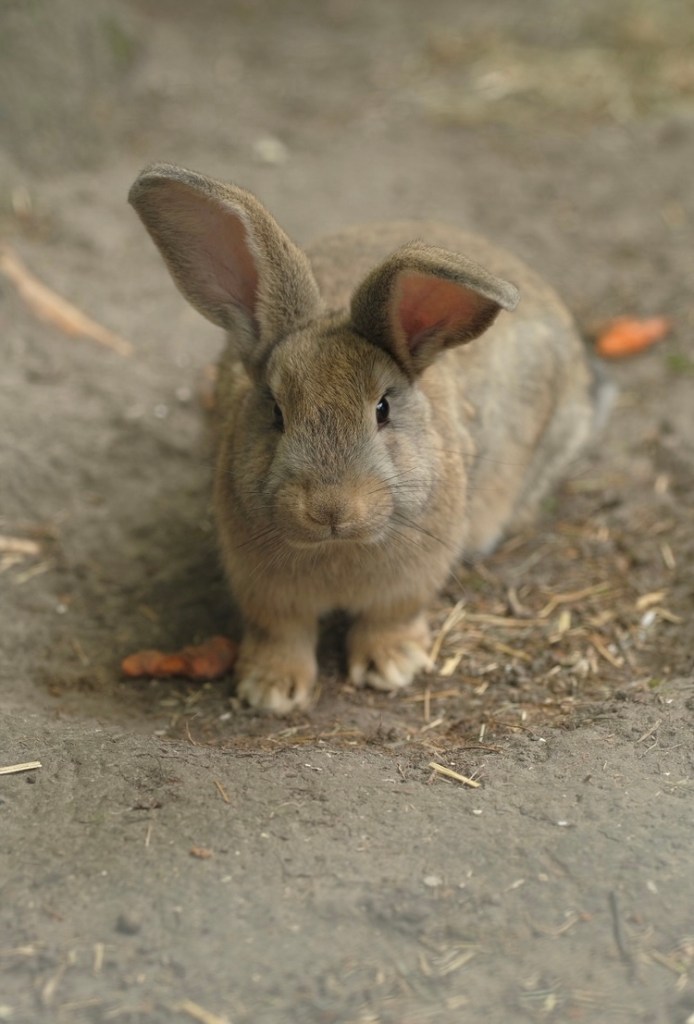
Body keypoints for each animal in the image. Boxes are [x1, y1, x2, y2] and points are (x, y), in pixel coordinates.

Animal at [129, 163, 612, 714]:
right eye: (276, 412)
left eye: (382, 409)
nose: (330, 509)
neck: (338, 550)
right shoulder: (265, 593)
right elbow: (282, 633)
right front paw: (271, 689)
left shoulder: (409, 583)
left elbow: (390, 618)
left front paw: (391, 666)